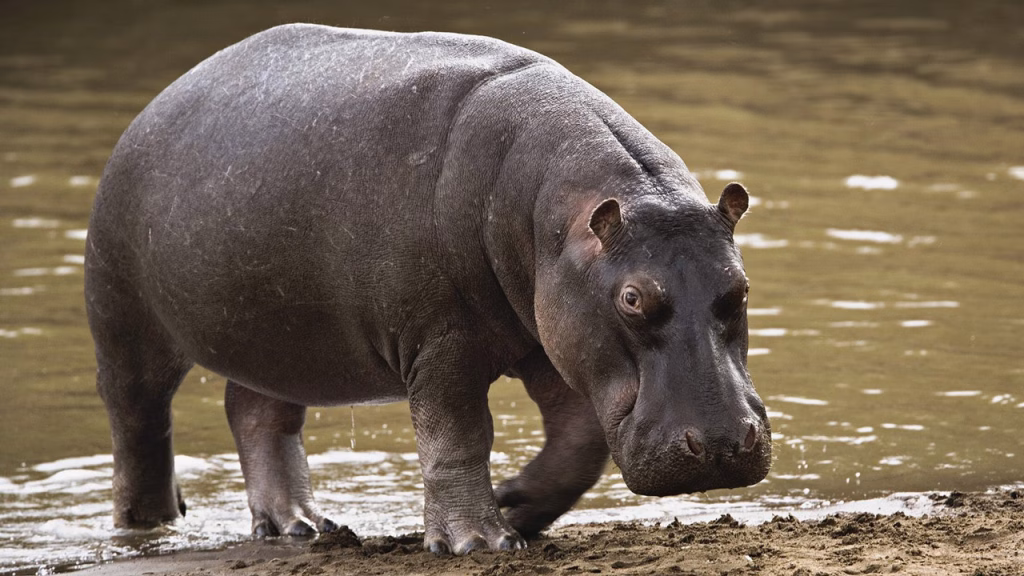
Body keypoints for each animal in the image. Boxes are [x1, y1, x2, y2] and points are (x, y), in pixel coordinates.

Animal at [84, 24, 771, 555]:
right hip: (124, 321)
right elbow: (458, 437)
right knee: (138, 427)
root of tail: (156, 104)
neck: (556, 216)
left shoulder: (552, 341)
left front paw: (514, 505)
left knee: (256, 413)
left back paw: (299, 527)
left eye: (739, 288)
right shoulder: (441, 343)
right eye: (632, 298)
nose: (719, 444)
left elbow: (579, 443)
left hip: (276, 336)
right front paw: (478, 542)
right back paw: (148, 528)